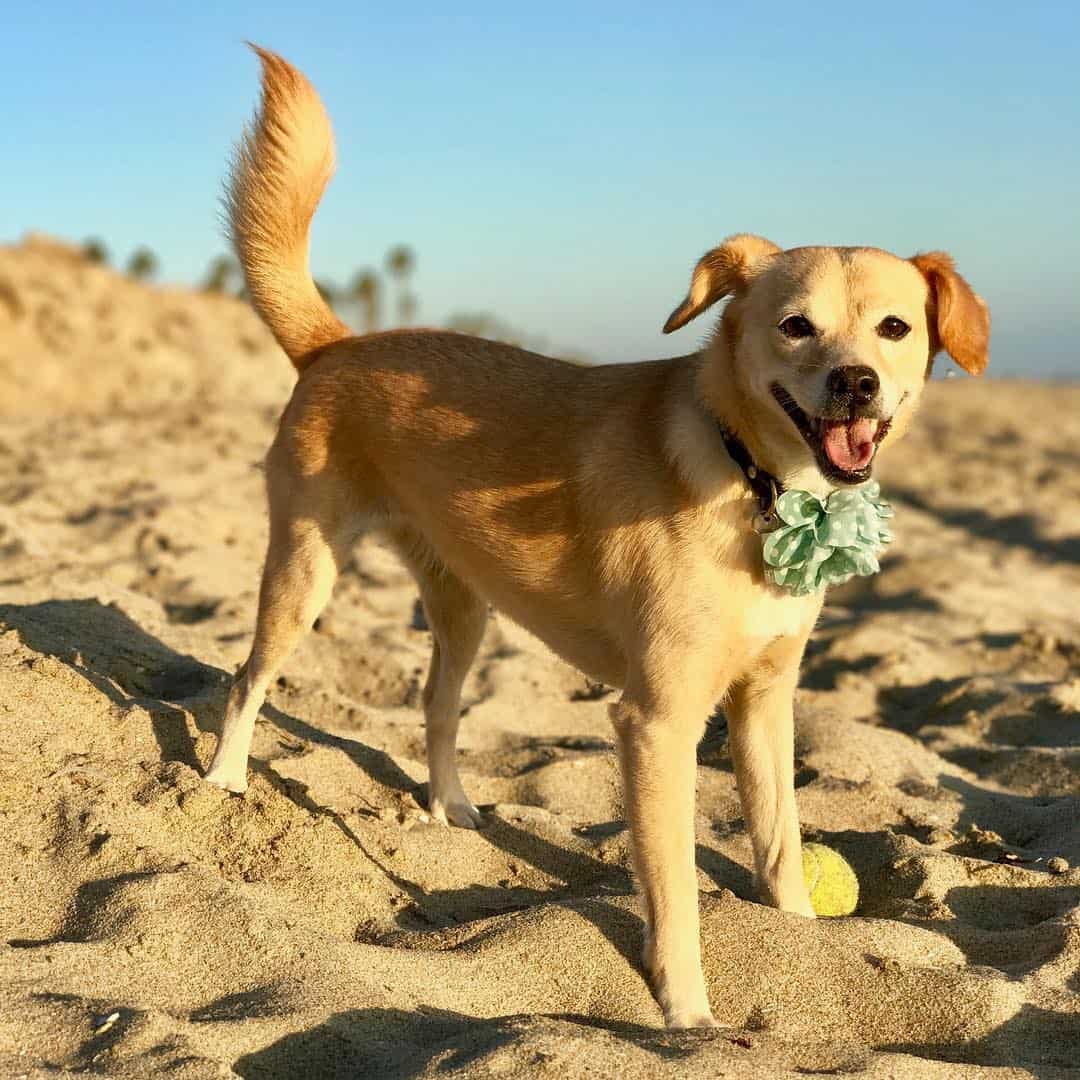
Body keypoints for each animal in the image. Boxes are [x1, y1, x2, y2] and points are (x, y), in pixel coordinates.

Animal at [203, 46, 989, 1028]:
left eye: (895, 328)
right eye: (794, 326)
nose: (855, 381)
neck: (754, 481)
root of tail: (334, 344)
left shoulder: (765, 702)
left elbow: (778, 842)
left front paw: (802, 940)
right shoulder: (656, 723)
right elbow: (675, 885)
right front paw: (685, 1010)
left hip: (465, 608)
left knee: (436, 706)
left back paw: (452, 808)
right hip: (303, 576)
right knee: (246, 679)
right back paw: (222, 785)